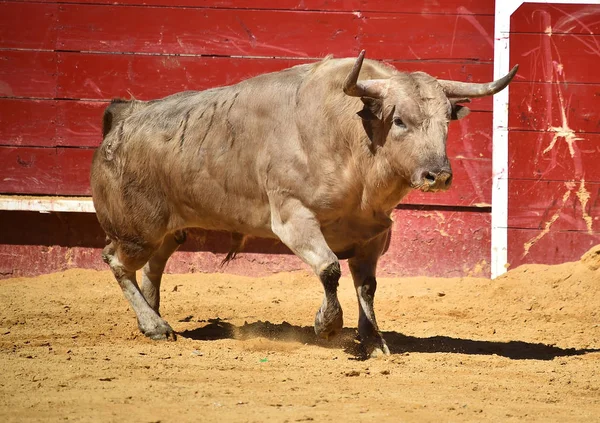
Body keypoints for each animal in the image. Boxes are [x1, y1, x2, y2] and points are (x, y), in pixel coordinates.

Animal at [91, 50, 516, 358]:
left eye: (447, 121)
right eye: (400, 121)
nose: (437, 175)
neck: (350, 139)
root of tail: (124, 117)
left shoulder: (373, 232)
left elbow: (367, 286)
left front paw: (373, 341)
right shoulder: (294, 218)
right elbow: (329, 269)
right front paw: (327, 325)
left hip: (167, 228)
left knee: (154, 265)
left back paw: (155, 317)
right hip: (135, 230)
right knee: (117, 261)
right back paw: (154, 325)